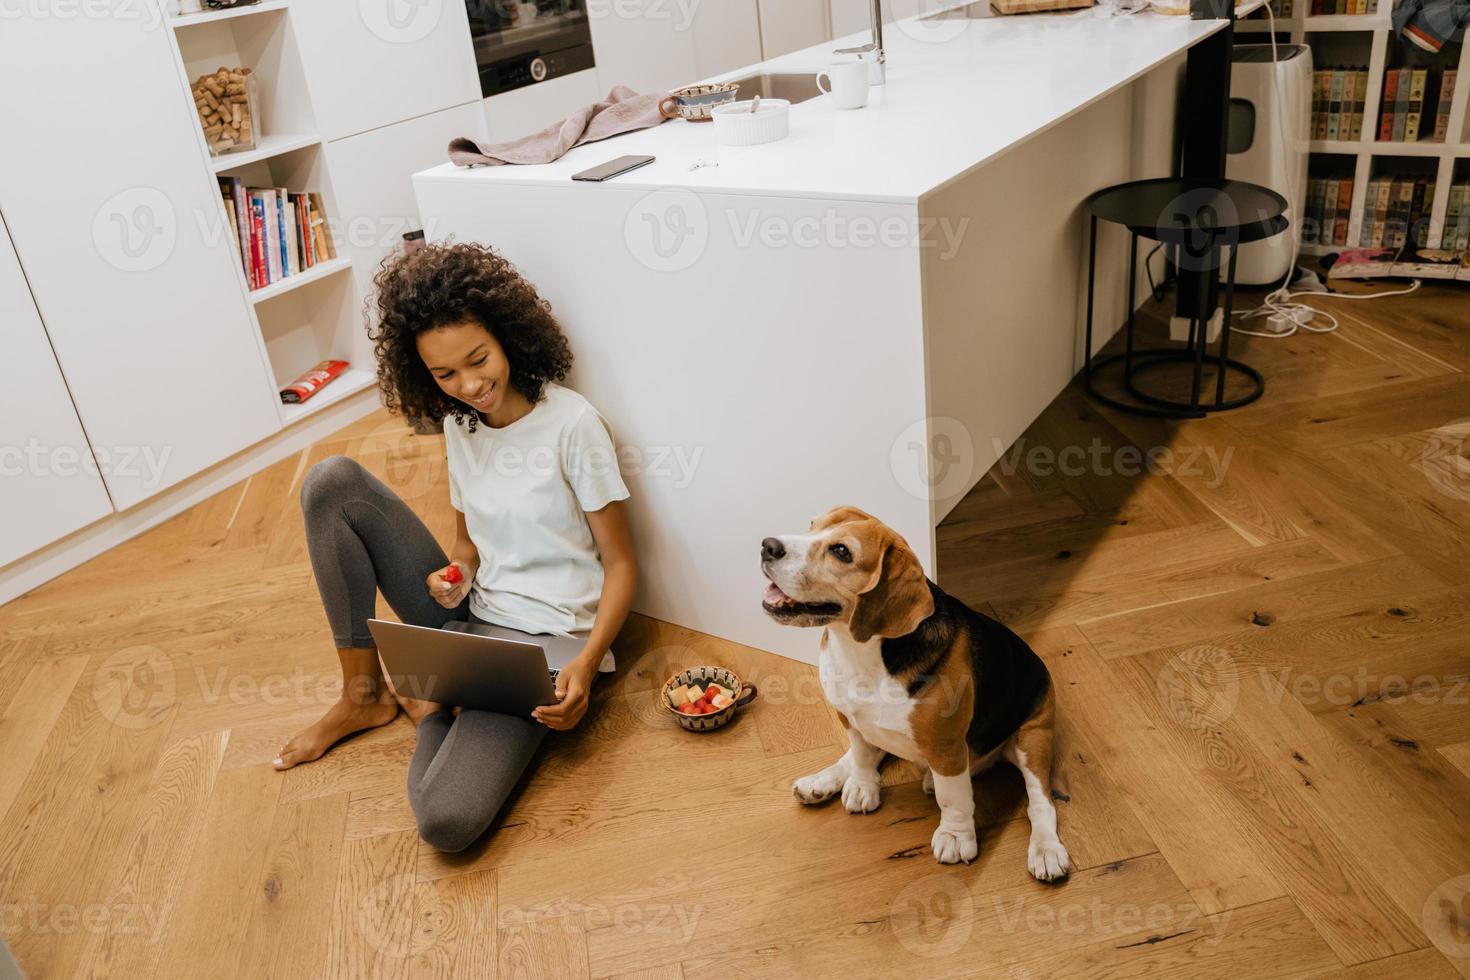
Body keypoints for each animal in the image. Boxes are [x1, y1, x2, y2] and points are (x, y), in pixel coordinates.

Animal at [758, 511, 1070, 875]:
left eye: (841, 552)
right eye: (813, 525)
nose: (767, 546)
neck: (861, 652)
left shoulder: (945, 745)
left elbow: (954, 797)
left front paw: (955, 836)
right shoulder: (852, 720)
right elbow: (861, 756)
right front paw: (862, 786)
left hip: (1033, 735)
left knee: (1041, 801)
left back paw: (1046, 849)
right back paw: (822, 781)